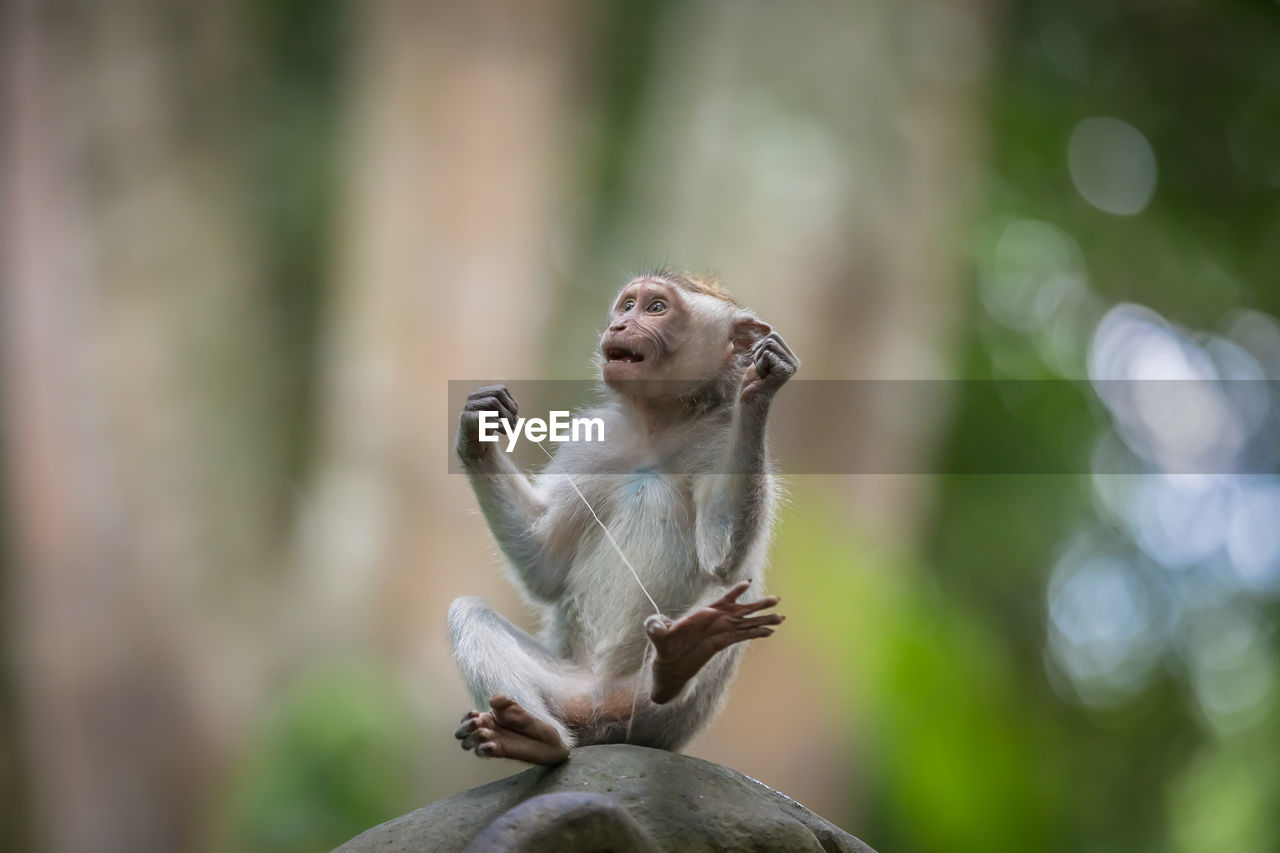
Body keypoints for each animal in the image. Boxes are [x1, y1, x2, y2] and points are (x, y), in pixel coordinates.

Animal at [448, 268, 788, 758]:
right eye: (628, 305)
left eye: (656, 308)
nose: (619, 325)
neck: (658, 425)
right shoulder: (593, 442)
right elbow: (545, 567)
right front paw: (479, 427)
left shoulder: (721, 437)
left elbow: (720, 556)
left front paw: (762, 386)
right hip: (566, 687)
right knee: (472, 614)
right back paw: (536, 738)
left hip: (662, 720)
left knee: (736, 582)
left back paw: (680, 659)